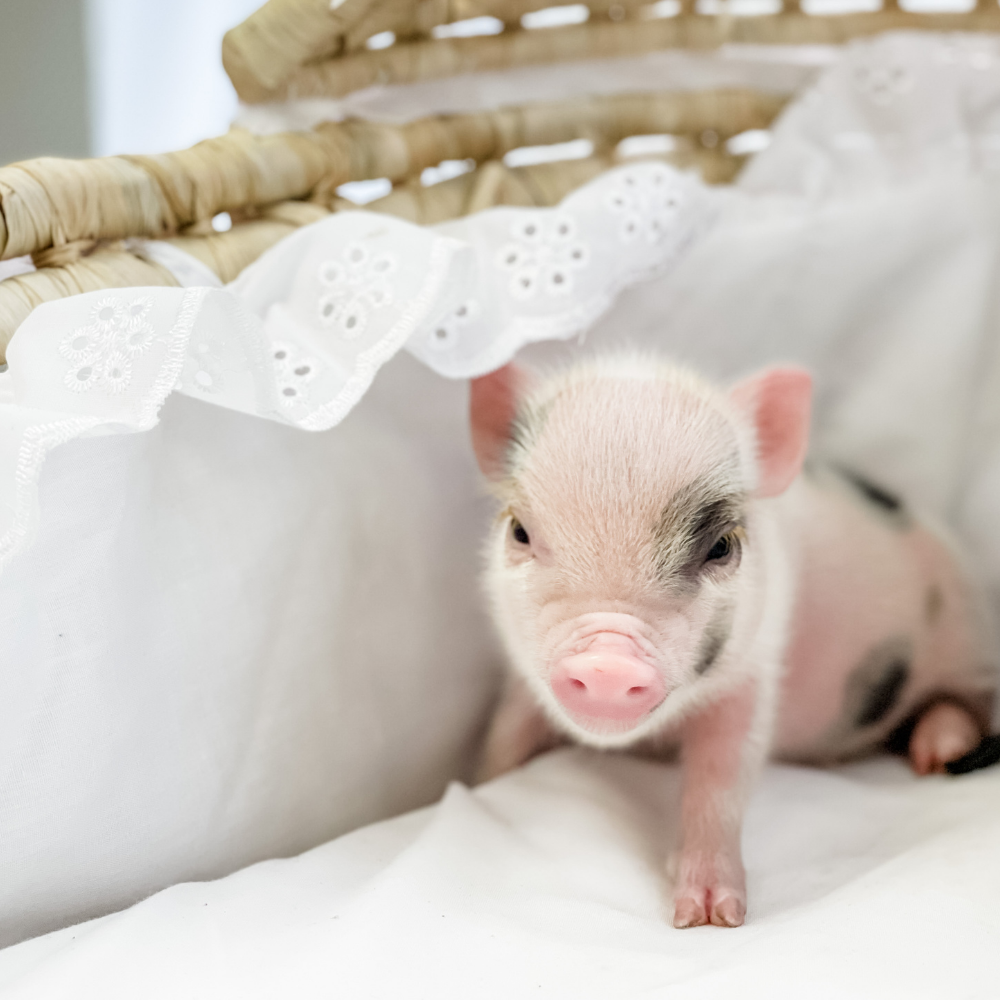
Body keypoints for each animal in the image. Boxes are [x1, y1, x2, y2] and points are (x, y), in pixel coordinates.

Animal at [470, 356, 996, 929]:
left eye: (720, 546)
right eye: (520, 531)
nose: (608, 663)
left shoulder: (752, 671)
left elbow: (721, 780)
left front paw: (708, 918)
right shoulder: (525, 678)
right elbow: (506, 732)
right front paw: (476, 786)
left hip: (970, 635)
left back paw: (937, 756)